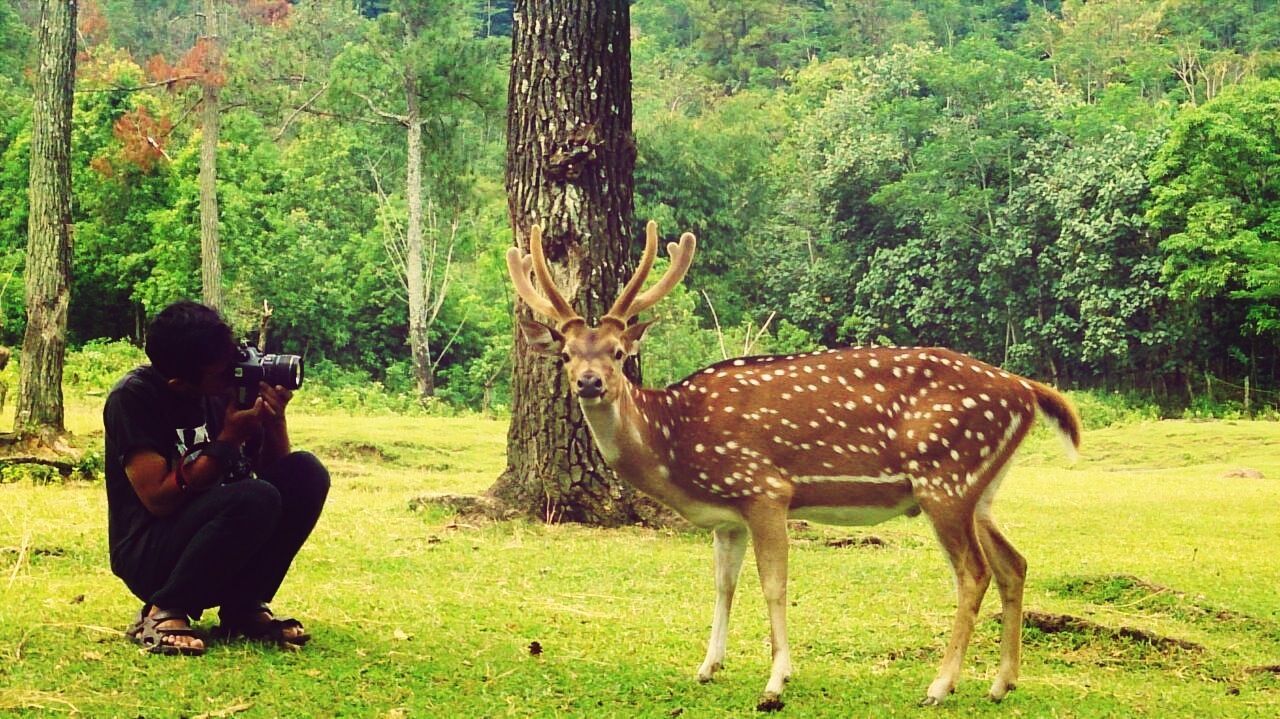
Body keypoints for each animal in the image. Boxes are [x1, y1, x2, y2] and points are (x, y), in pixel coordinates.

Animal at [504, 220, 1085, 706]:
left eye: (620, 353)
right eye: (566, 354)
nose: (589, 382)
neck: (678, 449)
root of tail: (1028, 390)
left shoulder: (764, 489)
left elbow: (773, 584)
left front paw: (776, 679)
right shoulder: (727, 517)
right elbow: (723, 585)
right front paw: (708, 666)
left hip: (945, 476)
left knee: (973, 572)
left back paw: (940, 686)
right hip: (980, 488)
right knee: (1015, 563)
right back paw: (1002, 683)